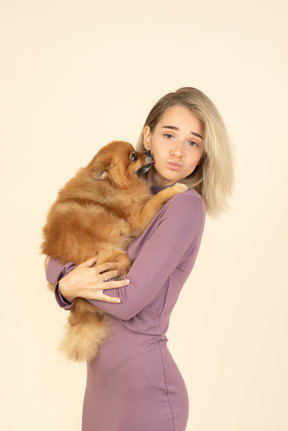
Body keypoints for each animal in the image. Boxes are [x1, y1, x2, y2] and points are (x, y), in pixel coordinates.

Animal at [41, 141, 188, 362]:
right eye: (133, 157)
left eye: (137, 151)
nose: (149, 152)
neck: (113, 184)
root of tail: (79, 306)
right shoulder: (136, 220)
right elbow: (156, 199)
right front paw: (176, 188)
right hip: (119, 259)